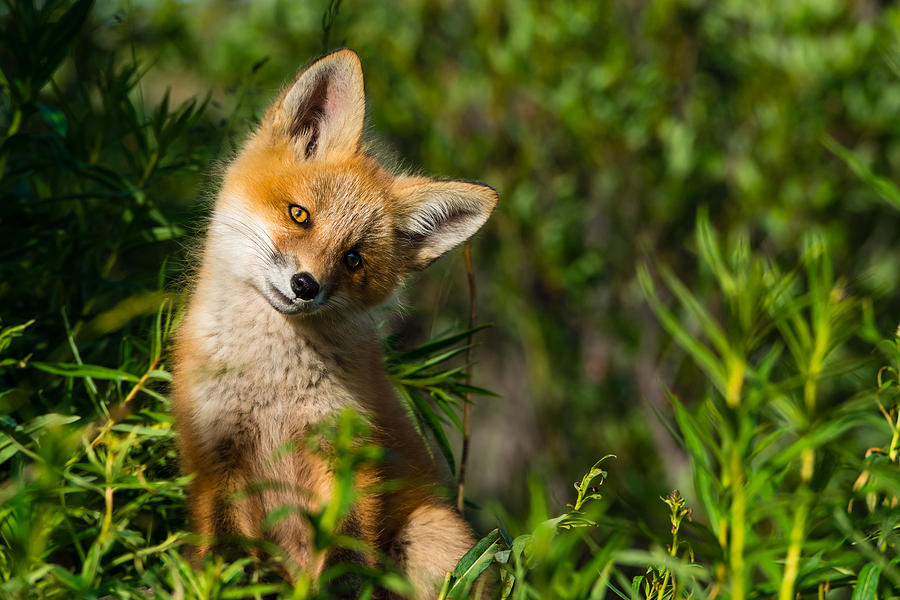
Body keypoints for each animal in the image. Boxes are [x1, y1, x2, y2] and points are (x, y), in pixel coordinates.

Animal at [171, 48, 500, 600]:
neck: (273, 389)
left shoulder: (349, 452)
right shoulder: (216, 453)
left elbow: (346, 551)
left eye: (352, 259)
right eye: (299, 215)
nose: (306, 285)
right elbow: (228, 554)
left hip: (429, 535)